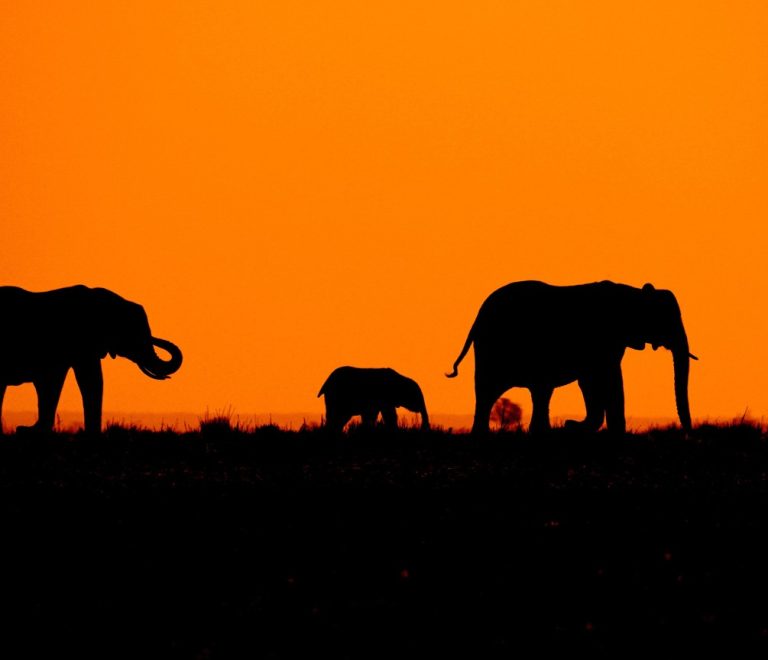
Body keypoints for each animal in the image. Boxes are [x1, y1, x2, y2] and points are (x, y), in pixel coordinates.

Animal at [0, 285, 183, 434]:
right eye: (134, 332)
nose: (155, 338)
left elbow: (77, 381)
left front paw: (28, 430)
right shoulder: (80, 342)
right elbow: (88, 380)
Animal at [446, 280, 697, 435]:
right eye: (667, 319)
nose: (688, 434)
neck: (634, 293)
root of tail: (477, 319)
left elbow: (591, 382)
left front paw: (573, 426)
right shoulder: (604, 340)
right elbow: (609, 380)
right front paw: (575, 427)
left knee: (536, 392)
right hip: (492, 349)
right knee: (490, 391)